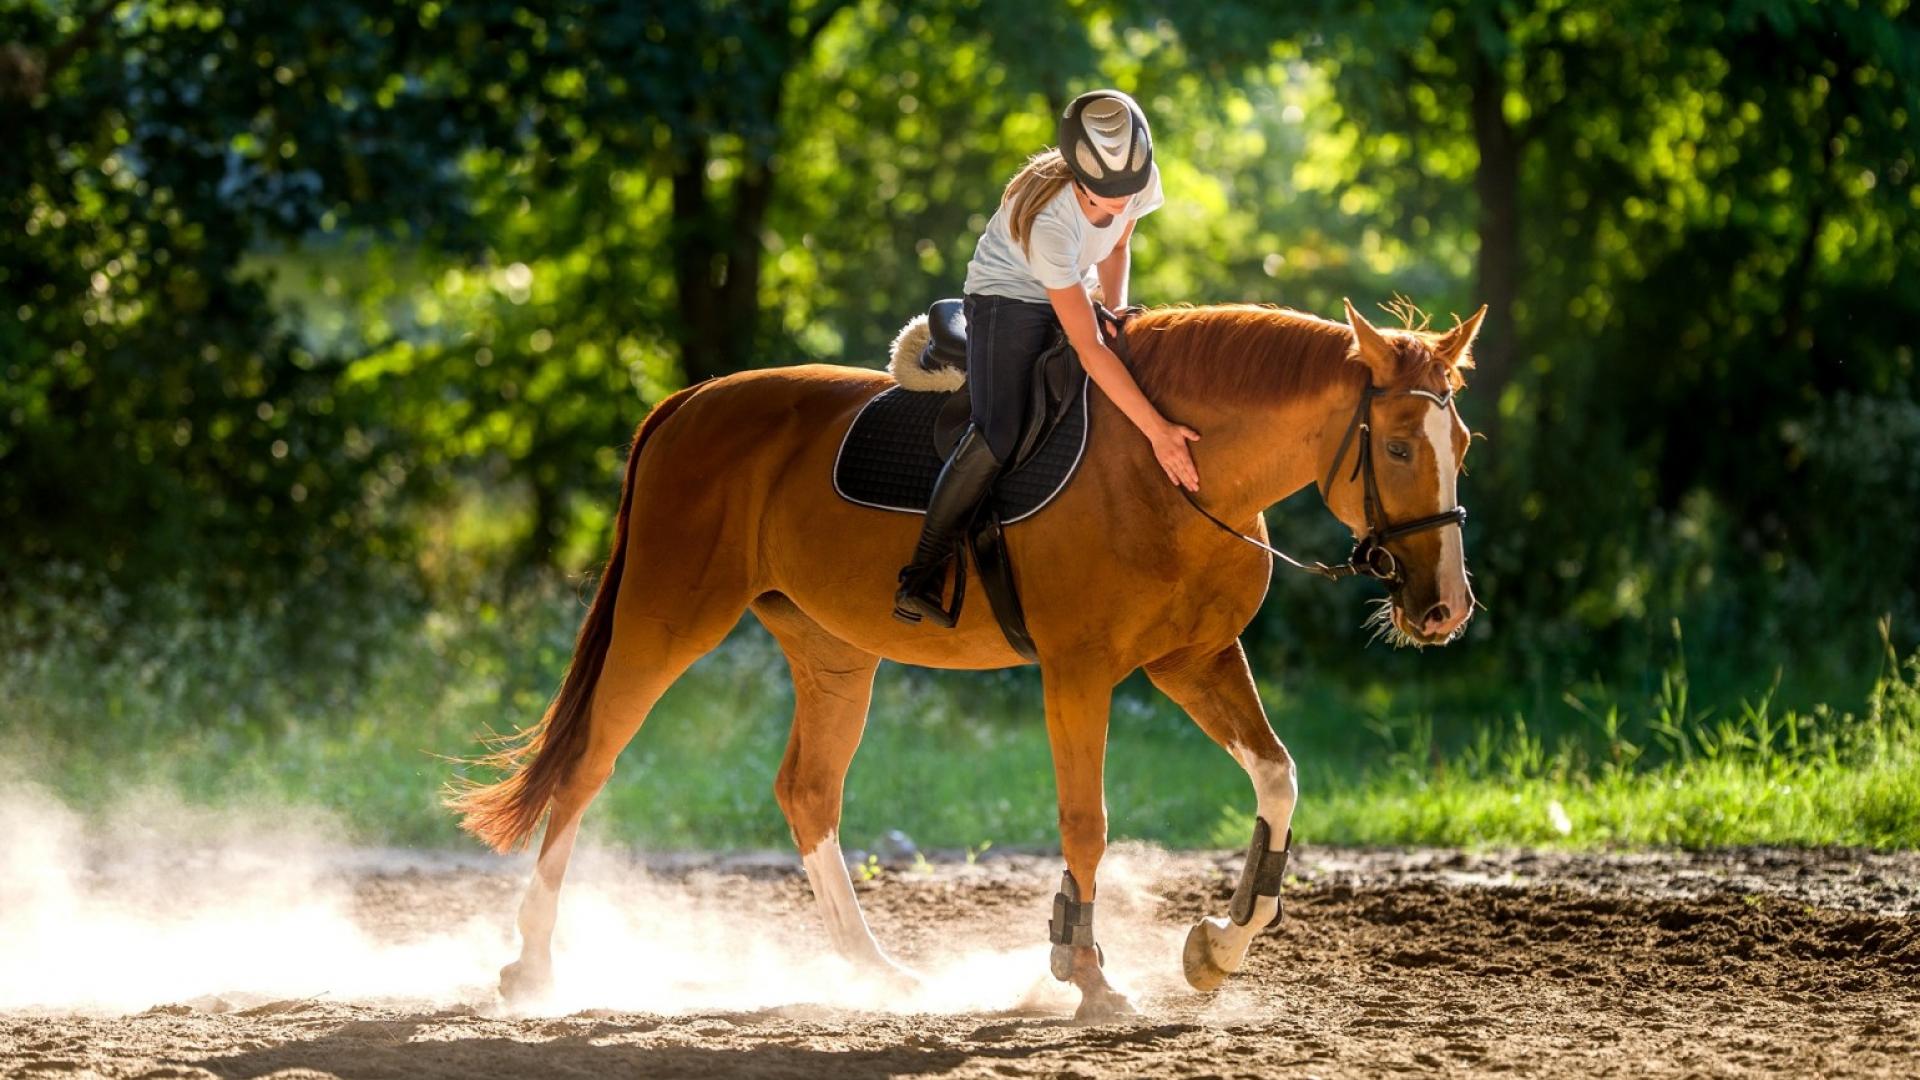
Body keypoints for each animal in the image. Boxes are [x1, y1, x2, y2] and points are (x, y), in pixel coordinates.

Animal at [449, 295, 1482, 1014]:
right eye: (1397, 447)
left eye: (1460, 441)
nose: (1443, 610)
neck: (1173, 470)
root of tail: (691, 400)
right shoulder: (1079, 672)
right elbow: (1086, 824)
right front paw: (1088, 976)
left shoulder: (1196, 659)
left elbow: (1277, 780)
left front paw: (1214, 948)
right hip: (667, 618)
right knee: (589, 765)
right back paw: (531, 966)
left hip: (832, 653)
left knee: (807, 792)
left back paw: (873, 969)